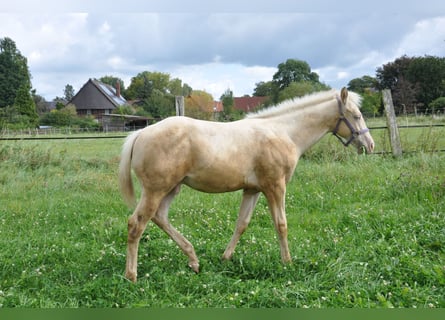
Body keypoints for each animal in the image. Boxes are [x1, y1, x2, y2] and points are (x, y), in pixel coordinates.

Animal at [118, 87, 372, 282]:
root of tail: (140, 134)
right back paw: (132, 276)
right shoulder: (275, 187)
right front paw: (287, 262)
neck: (284, 133)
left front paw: (225, 258)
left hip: (171, 188)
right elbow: (281, 224)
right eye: (356, 115)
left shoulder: (253, 190)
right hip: (156, 190)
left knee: (159, 217)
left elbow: (242, 223)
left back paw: (194, 260)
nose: (369, 145)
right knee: (136, 224)